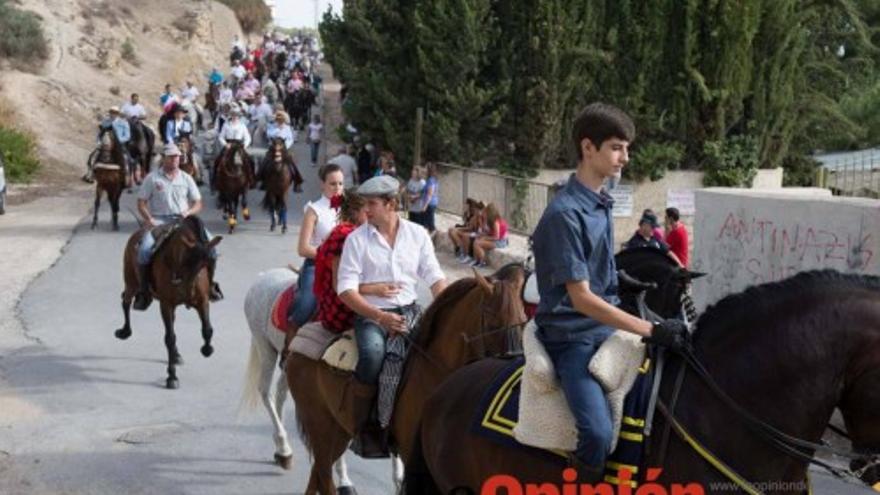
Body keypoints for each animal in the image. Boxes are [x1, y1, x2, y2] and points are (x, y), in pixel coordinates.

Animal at [113, 217, 222, 392]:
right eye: (186, 262)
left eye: (207, 264)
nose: (188, 297)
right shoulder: (166, 304)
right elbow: (170, 338)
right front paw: (172, 377)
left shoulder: (202, 301)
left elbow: (207, 329)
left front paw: (207, 349)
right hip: (131, 281)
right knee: (125, 300)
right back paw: (125, 331)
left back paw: (176, 355)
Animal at [241, 270, 406, 494]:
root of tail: (263, 276)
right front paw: (344, 481)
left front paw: (399, 480)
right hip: (265, 347)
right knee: (266, 392)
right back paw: (284, 449)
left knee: (281, 394)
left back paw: (281, 449)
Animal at [286, 266, 524, 494]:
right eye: (493, 322)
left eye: (523, 322)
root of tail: (300, 339)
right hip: (319, 424)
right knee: (325, 478)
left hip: (337, 430)